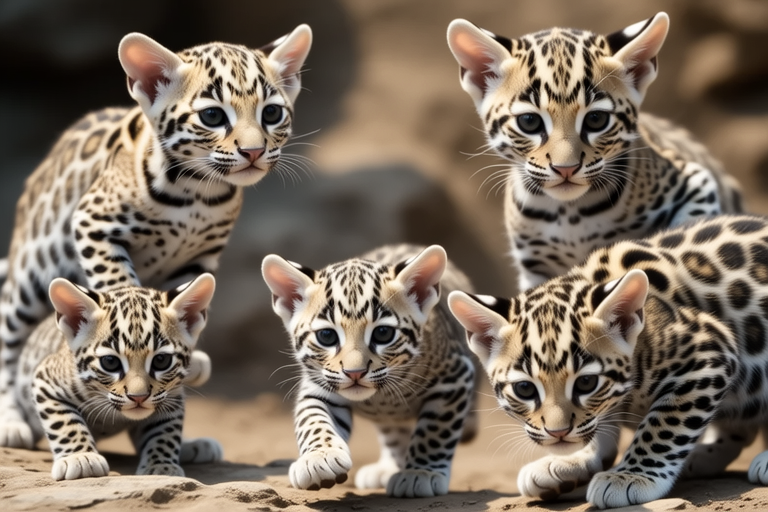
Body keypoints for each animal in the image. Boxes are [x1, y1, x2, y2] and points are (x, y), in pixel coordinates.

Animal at [0, 25, 313, 448]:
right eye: (213, 115)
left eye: (272, 113)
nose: (253, 151)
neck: (200, 192)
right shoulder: (93, 222)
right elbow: (119, 282)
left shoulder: (198, 258)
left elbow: (182, 301)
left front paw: (181, 353)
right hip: (30, 277)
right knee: (8, 338)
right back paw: (10, 420)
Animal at [15, 273, 221, 480]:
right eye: (110, 362)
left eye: (161, 360)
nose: (138, 397)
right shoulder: (45, 380)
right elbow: (64, 422)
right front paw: (81, 458)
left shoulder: (171, 395)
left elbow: (166, 431)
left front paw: (161, 465)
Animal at [261, 244, 478, 498]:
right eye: (326, 336)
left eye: (383, 333)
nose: (355, 372)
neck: (380, 398)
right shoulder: (318, 386)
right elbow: (312, 419)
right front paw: (319, 457)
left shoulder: (454, 378)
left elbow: (435, 432)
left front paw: (421, 472)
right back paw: (388, 467)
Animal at [447, 12, 743, 292]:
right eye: (529, 122)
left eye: (596, 120)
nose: (565, 168)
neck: (569, 213)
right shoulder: (535, 265)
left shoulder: (696, 182)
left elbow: (687, 232)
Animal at [448, 214, 768, 508]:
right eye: (524, 389)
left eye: (586, 383)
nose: (558, 434)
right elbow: (599, 423)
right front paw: (577, 459)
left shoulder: (708, 351)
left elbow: (664, 423)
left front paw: (630, 475)